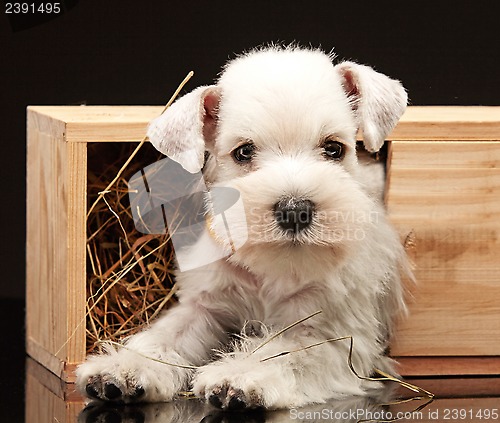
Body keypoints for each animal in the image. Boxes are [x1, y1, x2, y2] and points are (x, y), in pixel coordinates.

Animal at [75, 45, 410, 410]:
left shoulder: (333, 336)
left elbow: (285, 352)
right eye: (244, 151)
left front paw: (238, 376)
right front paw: (123, 368)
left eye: (334, 148)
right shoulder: (204, 305)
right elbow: (163, 337)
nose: (295, 210)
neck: (271, 270)